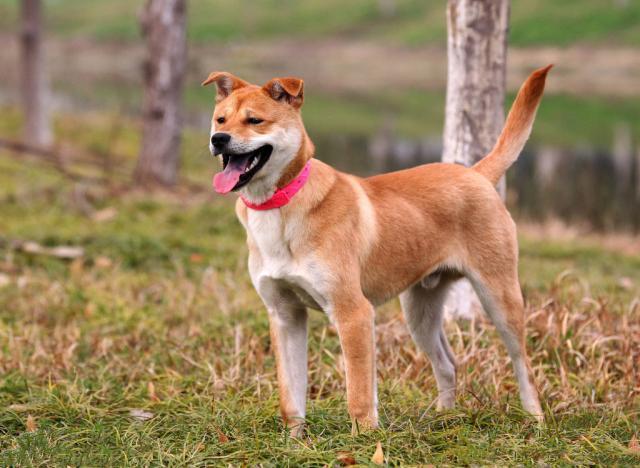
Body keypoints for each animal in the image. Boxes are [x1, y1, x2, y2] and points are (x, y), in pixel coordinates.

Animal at [204, 65, 552, 436]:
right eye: (220, 119)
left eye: (254, 120)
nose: (218, 139)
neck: (281, 205)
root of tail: (475, 174)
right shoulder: (285, 316)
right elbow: (291, 395)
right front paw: (295, 440)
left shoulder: (354, 314)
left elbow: (358, 392)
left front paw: (366, 439)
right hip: (419, 311)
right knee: (448, 363)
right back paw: (444, 418)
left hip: (500, 297)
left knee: (523, 364)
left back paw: (535, 420)